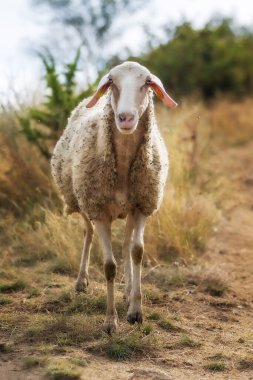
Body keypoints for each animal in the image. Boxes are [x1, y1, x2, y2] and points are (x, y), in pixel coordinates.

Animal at [51, 61, 178, 332]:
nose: (125, 118)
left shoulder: (141, 206)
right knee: (87, 233)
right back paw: (81, 281)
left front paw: (136, 311)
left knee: (127, 244)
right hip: (82, 202)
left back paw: (128, 290)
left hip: (127, 209)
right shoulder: (98, 211)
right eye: (112, 83)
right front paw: (110, 322)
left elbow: (137, 251)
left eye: (146, 83)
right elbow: (109, 267)